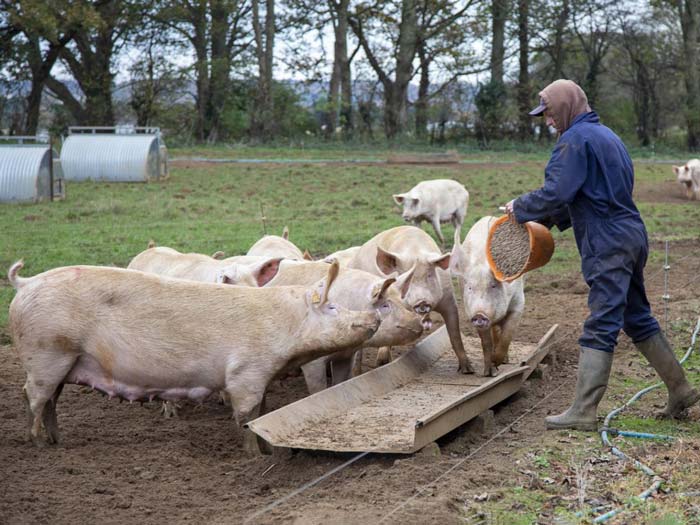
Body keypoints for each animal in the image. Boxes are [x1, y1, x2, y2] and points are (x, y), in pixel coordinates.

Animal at [8, 258, 380, 450]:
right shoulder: (245, 374)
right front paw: (254, 452)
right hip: (47, 353)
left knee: (51, 400)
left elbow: (262, 413)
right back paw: (38, 445)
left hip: (64, 362)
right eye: (332, 306)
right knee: (32, 396)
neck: (283, 324)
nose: (373, 317)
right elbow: (246, 417)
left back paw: (58, 441)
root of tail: (25, 284)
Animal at [266, 260, 424, 390]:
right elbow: (318, 388)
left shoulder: (346, 355)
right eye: (385, 305)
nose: (419, 321)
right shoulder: (313, 363)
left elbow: (340, 381)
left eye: (405, 305)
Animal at [348, 225, 474, 372]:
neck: (415, 250)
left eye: (429, 275)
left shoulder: (449, 299)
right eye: (406, 276)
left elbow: (455, 334)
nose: (421, 301)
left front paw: (468, 370)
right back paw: (370, 367)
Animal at [448, 217, 524, 376]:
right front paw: (489, 372)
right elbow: (486, 342)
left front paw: (497, 361)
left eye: (493, 286)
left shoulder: (519, 303)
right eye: (470, 287)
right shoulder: (471, 312)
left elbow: (508, 334)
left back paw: (505, 360)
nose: (480, 314)